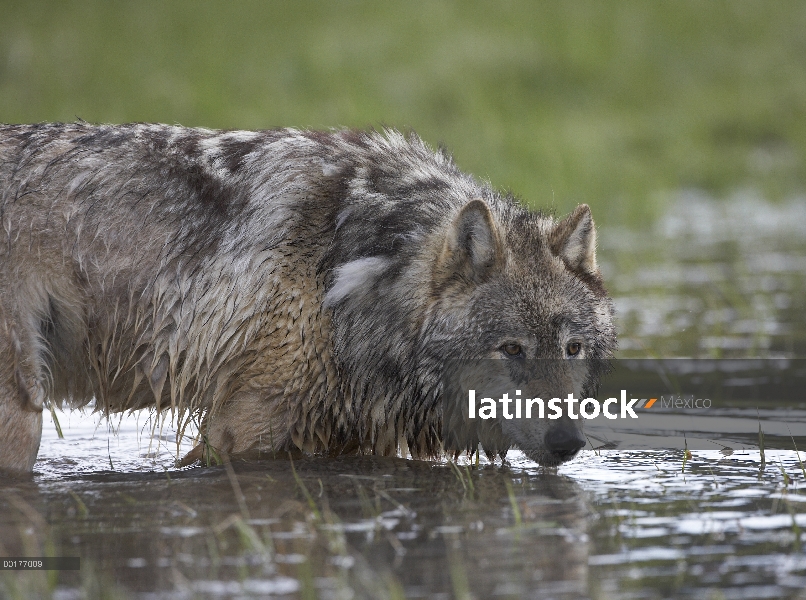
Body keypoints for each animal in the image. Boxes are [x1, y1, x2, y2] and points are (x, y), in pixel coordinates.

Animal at [0, 124, 620, 474]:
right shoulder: (241, 434)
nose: (569, 442)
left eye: (572, 349)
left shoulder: (349, 439)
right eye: (512, 350)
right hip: (21, 421)